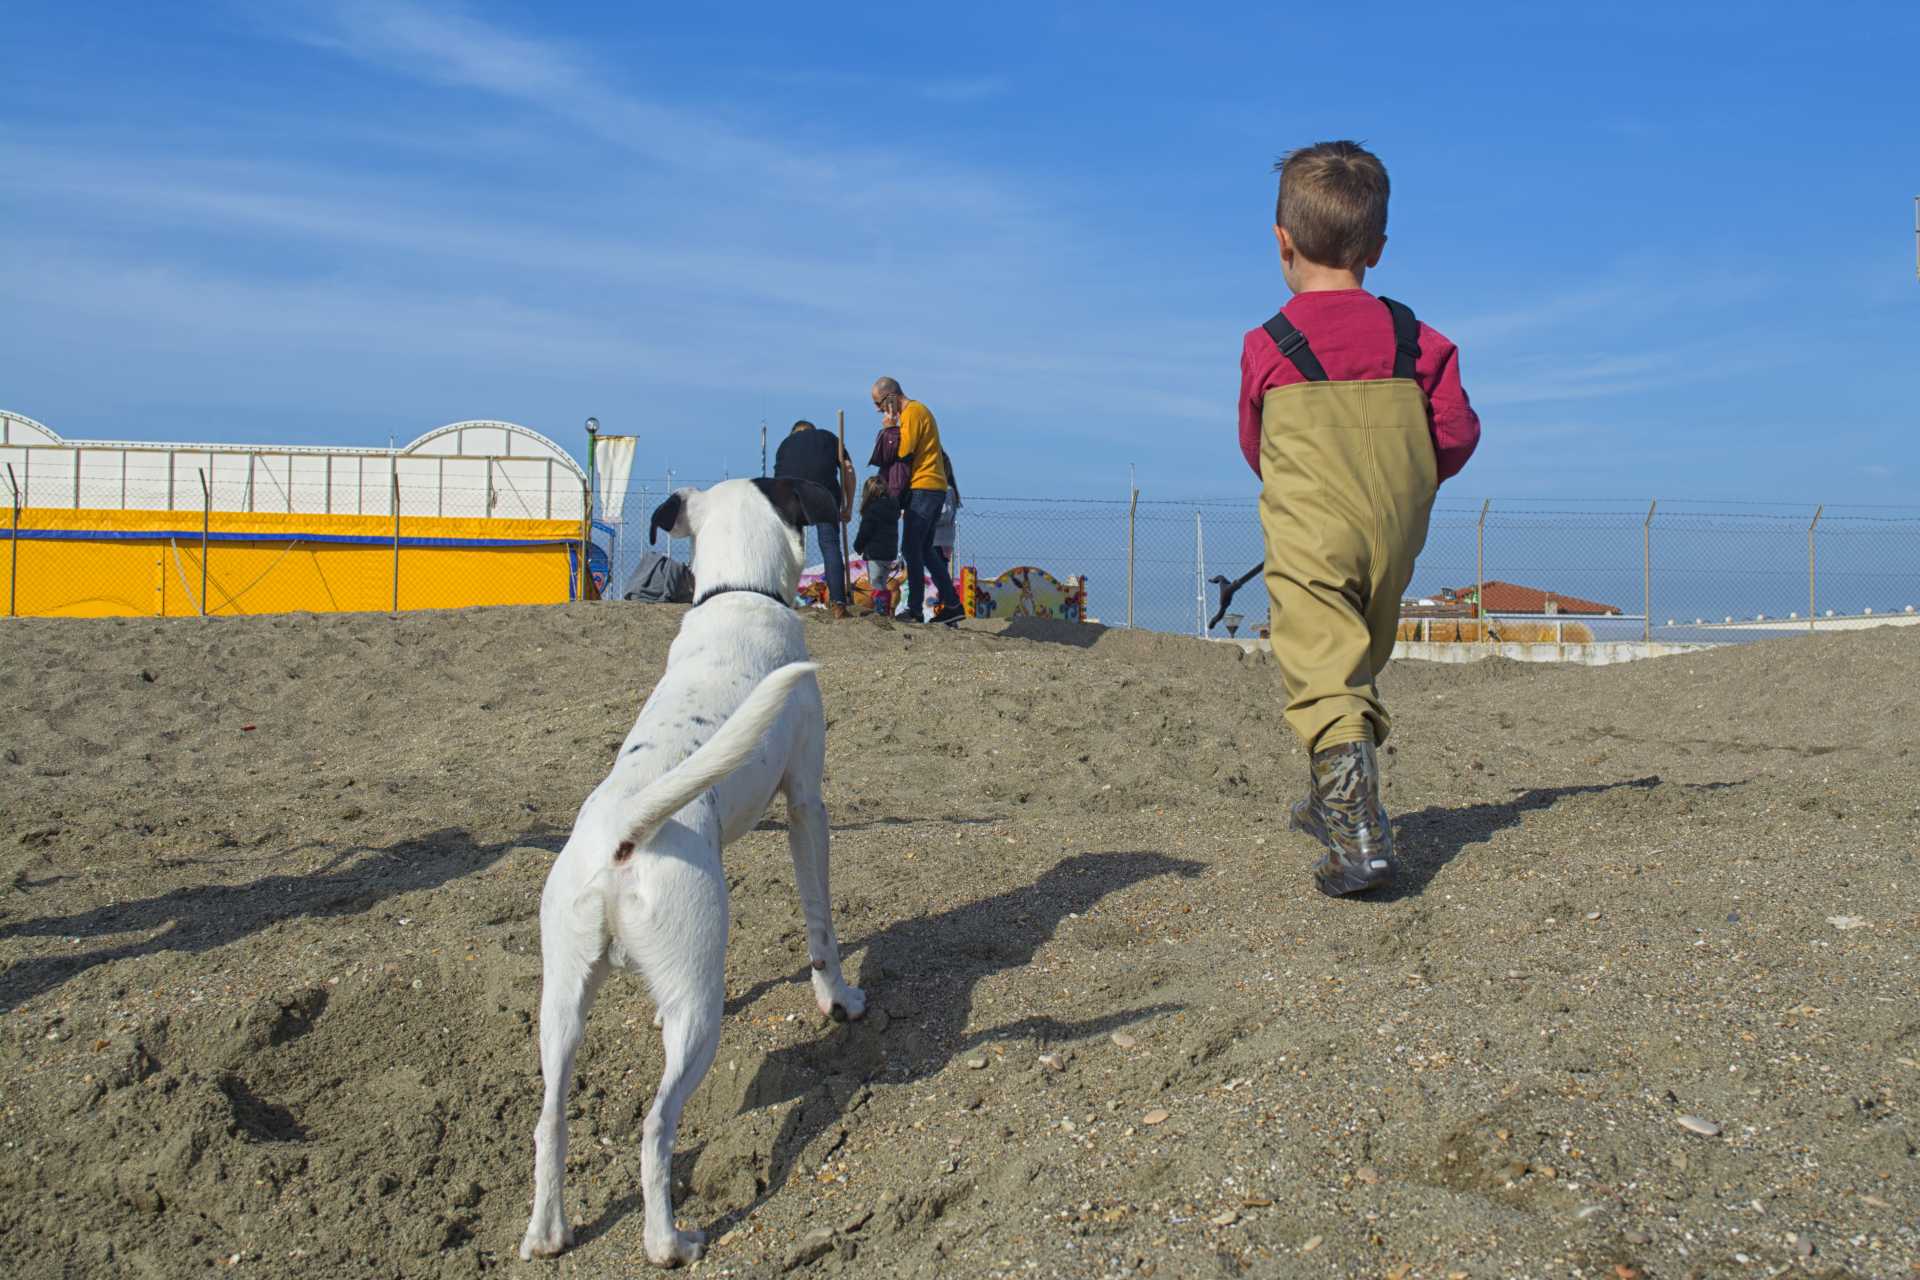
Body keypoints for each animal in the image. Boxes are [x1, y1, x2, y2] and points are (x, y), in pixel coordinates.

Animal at [518, 479, 864, 1274]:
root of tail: (624, 831)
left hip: (563, 1003)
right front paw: (838, 999)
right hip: (698, 1016)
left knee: (549, 1122)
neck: (738, 594)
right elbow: (821, 925)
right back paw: (668, 1241)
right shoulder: (806, 804)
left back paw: (548, 1233)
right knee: (655, 1127)